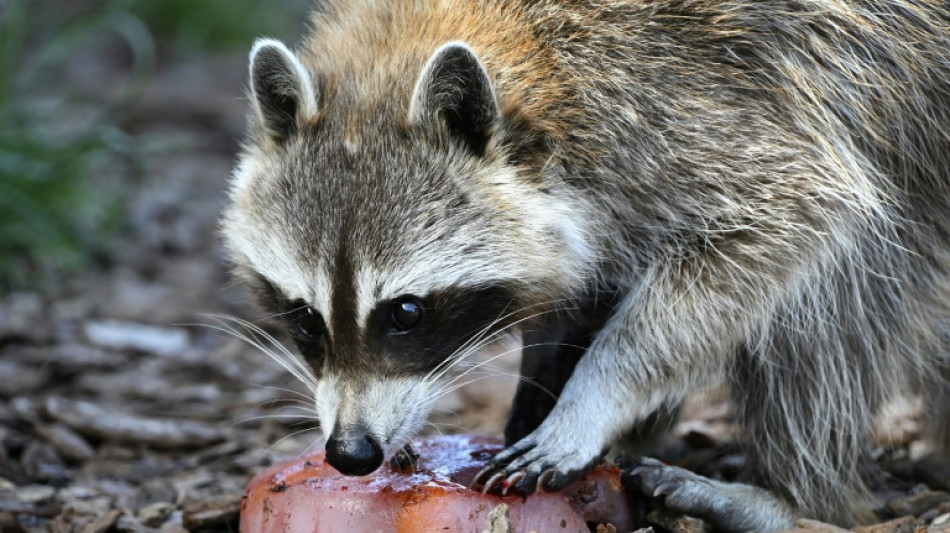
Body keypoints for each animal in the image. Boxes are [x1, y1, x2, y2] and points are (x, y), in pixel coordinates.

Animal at [223, 2, 950, 528]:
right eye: (304, 316)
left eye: (405, 312)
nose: (351, 453)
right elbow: (578, 281)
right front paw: (543, 378)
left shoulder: (697, 105)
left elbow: (786, 221)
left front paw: (591, 398)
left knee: (837, 302)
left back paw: (786, 497)